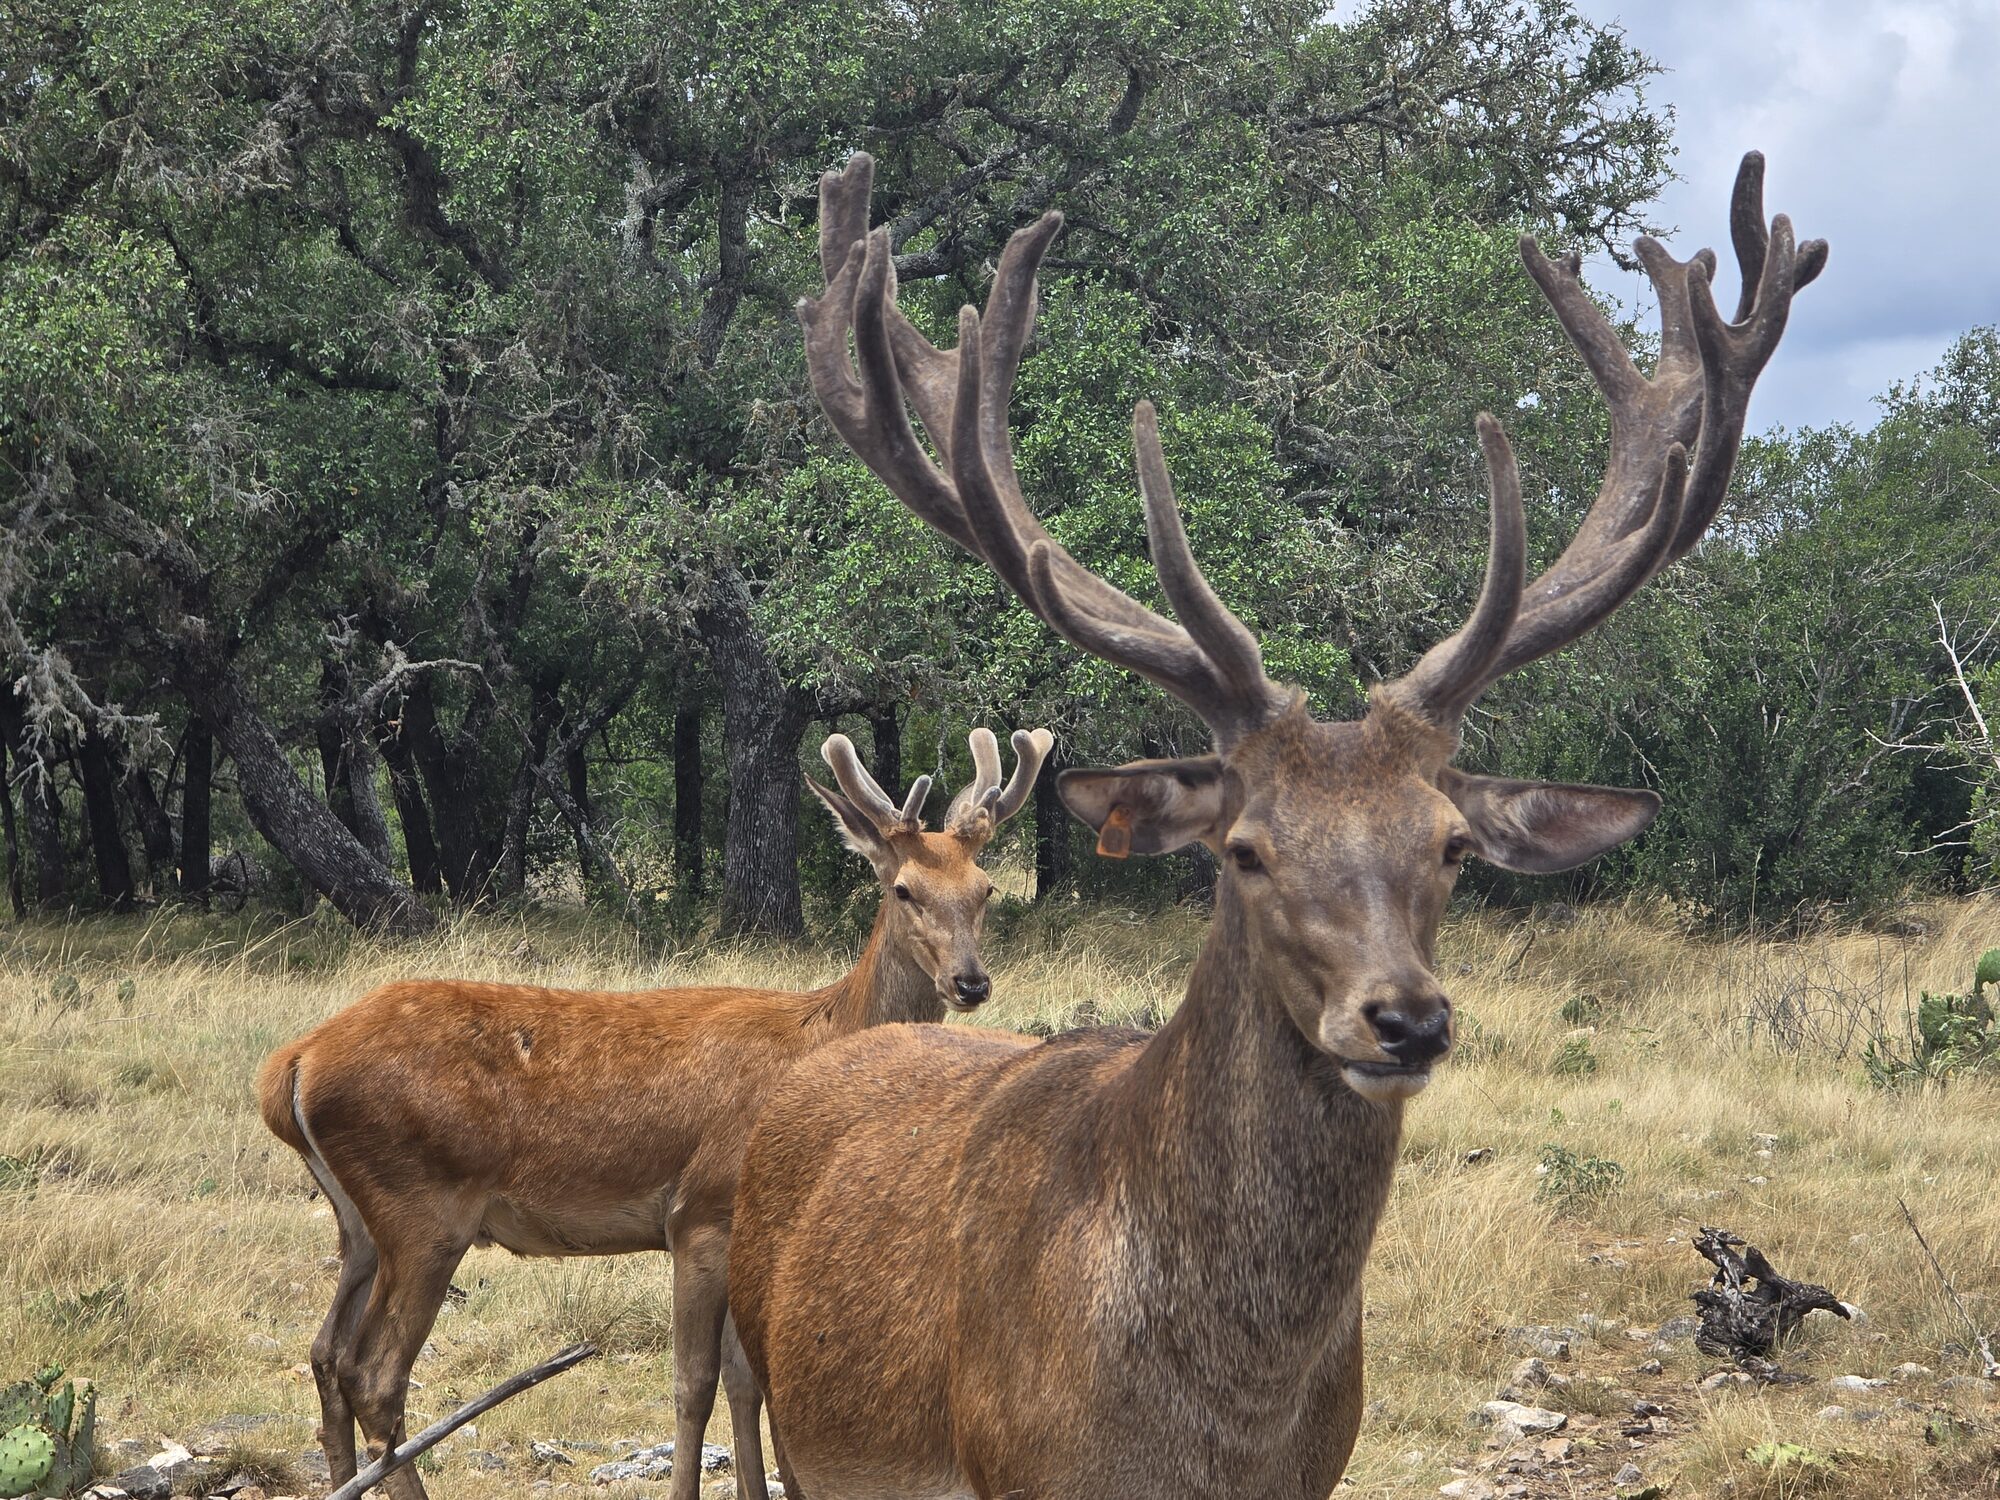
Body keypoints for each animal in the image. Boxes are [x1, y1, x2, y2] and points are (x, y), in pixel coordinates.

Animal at [256, 724, 1052, 1500]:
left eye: (985, 888)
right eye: (904, 889)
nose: (971, 982)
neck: (819, 1036)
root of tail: (291, 1066)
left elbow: (745, 1380)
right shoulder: (700, 1212)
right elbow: (694, 1384)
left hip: (360, 1222)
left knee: (325, 1352)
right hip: (424, 1208)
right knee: (373, 1372)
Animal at [726, 151, 1824, 1499]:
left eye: (1451, 846)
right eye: (1242, 849)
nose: (1403, 1020)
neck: (1218, 1426)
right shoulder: (1018, 1470)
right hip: (793, 1414)